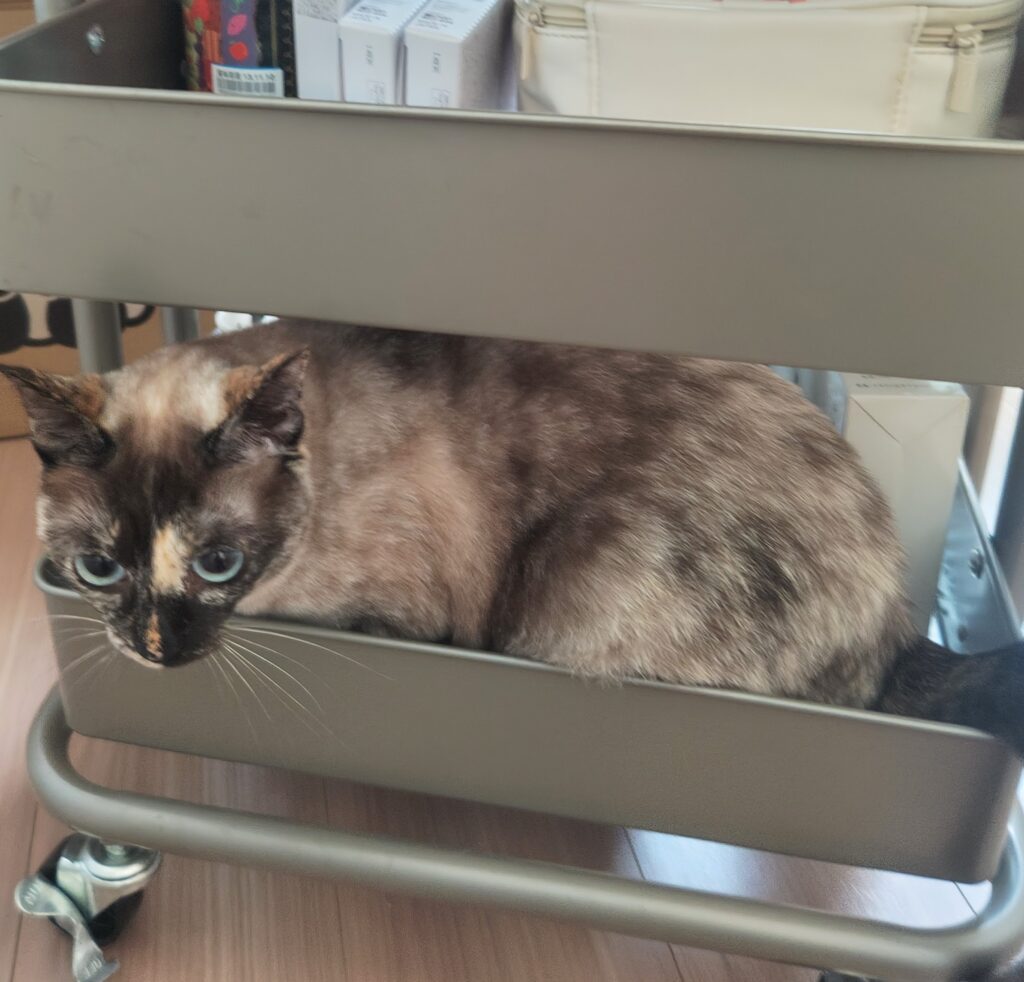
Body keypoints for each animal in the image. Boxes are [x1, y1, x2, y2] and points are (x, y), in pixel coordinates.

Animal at [3, 320, 1022, 754]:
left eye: (218, 562)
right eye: (98, 568)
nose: (155, 646)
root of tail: (899, 628)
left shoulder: (408, 616)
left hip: (580, 584)